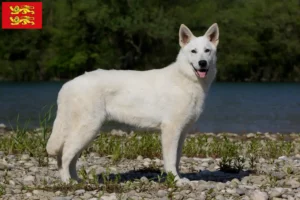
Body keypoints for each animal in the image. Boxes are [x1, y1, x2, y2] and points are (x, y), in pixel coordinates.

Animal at [47, 23, 220, 183]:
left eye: (207, 51)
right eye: (193, 51)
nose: (202, 63)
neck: (186, 79)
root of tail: (68, 84)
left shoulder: (182, 132)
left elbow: (177, 159)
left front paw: (178, 178)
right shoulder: (171, 130)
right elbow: (171, 160)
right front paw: (176, 181)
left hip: (87, 133)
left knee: (68, 158)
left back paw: (76, 181)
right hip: (88, 129)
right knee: (65, 156)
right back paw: (68, 182)